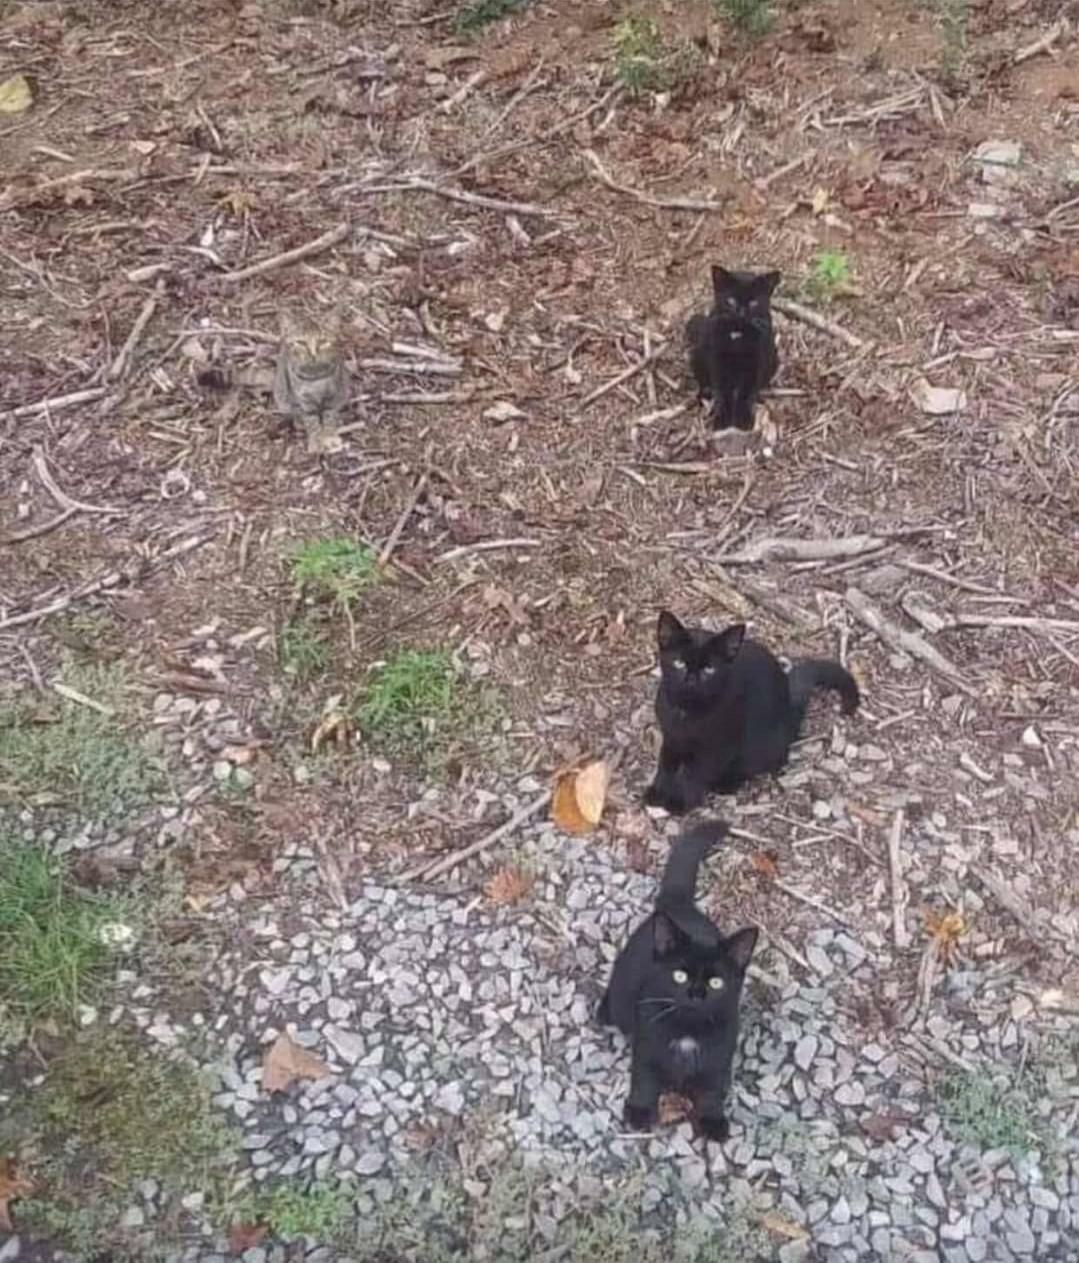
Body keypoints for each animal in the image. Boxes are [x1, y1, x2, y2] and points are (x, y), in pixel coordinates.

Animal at [596, 823, 758, 1141]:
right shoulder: (647, 1043)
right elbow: (644, 1079)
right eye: (679, 976)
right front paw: (639, 1112)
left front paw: (712, 1121)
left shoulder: (720, 1056)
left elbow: (712, 1090)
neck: (687, 1031)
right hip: (623, 994)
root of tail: (680, 906)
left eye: (717, 983)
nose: (696, 994)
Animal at [641, 606, 864, 813]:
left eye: (709, 669)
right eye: (679, 662)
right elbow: (666, 764)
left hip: (761, 746)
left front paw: (679, 803)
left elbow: (694, 774)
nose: (691, 679)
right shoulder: (671, 737)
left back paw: (727, 783)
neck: (685, 713)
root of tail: (789, 699)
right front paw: (657, 792)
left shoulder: (717, 747)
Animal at [687, 263, 783, 431]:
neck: (738, 333)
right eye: (731, 301)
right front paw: (722, 419)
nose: (741, 312)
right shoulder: (717, 359)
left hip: (774, 359)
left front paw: (743, 419)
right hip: (697, 354)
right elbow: (723, 391)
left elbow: (746, 392)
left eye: (753, 303)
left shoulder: (756, 361)